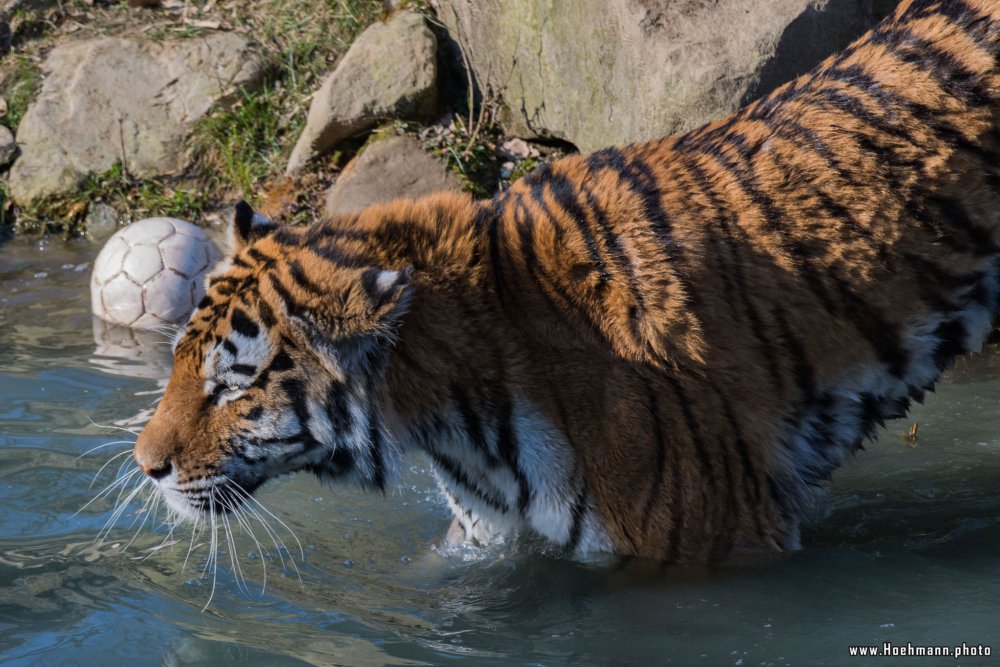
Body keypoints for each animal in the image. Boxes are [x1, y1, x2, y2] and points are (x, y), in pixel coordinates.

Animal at [135, 0, 1000, 564]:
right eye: (179, 361)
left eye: (235, 384)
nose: (146, 467)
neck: (452, 412)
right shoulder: (479, 539)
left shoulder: (715, 541)